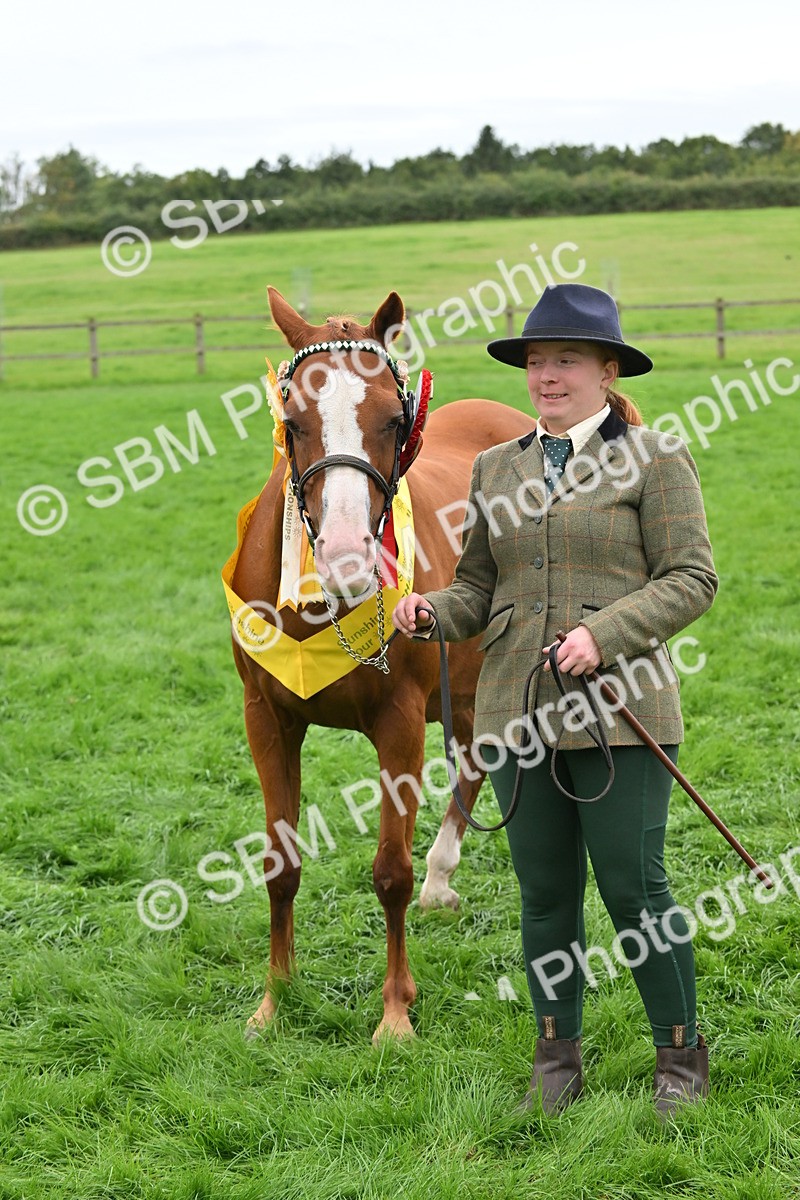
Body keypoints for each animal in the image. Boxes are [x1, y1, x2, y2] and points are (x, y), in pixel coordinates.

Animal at [230, 287, 536, 1041]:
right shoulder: (267, 721)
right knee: (475, 760)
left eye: (394, 421)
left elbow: (389, 872)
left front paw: (396, 1011)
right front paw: (275, 997)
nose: (344, 554)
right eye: (294, 422)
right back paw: (441, 876)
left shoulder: (399, 725)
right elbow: (280, 863)